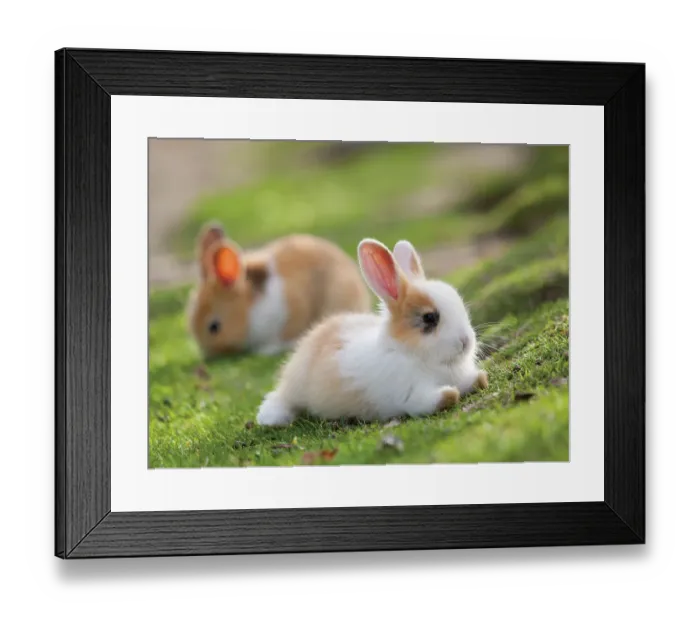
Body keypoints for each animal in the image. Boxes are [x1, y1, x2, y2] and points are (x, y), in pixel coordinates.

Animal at [256, 238, 488, 426]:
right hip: (296, 390)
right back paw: (270, 418)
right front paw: (449, 393)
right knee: (282, 398)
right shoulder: (410, 394)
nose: (466, 341)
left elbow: (476, 381)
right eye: (429, 318)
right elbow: (438, 399)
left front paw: (478, 379)